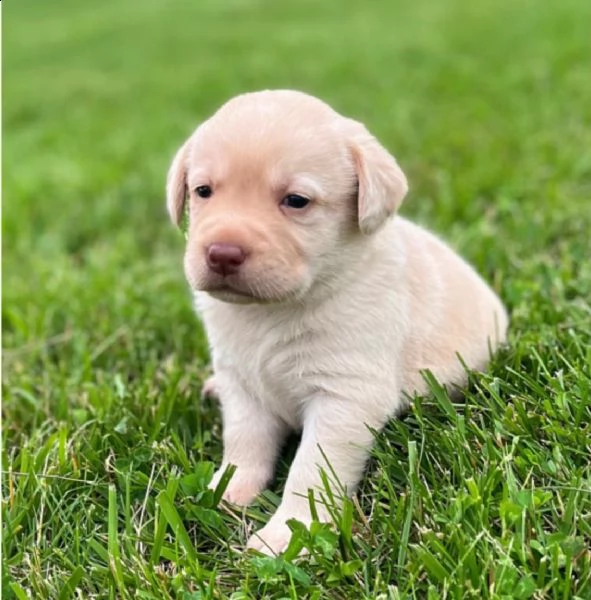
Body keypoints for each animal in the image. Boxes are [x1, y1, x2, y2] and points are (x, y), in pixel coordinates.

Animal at [165, 90, 508, 556]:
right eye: (203, 191)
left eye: (296, 200)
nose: (222, 253)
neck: (271, 312)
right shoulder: (242, 384)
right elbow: (244, 442)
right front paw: (228, 490)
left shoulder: (344, 396)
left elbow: (311, 471)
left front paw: (289, 533)